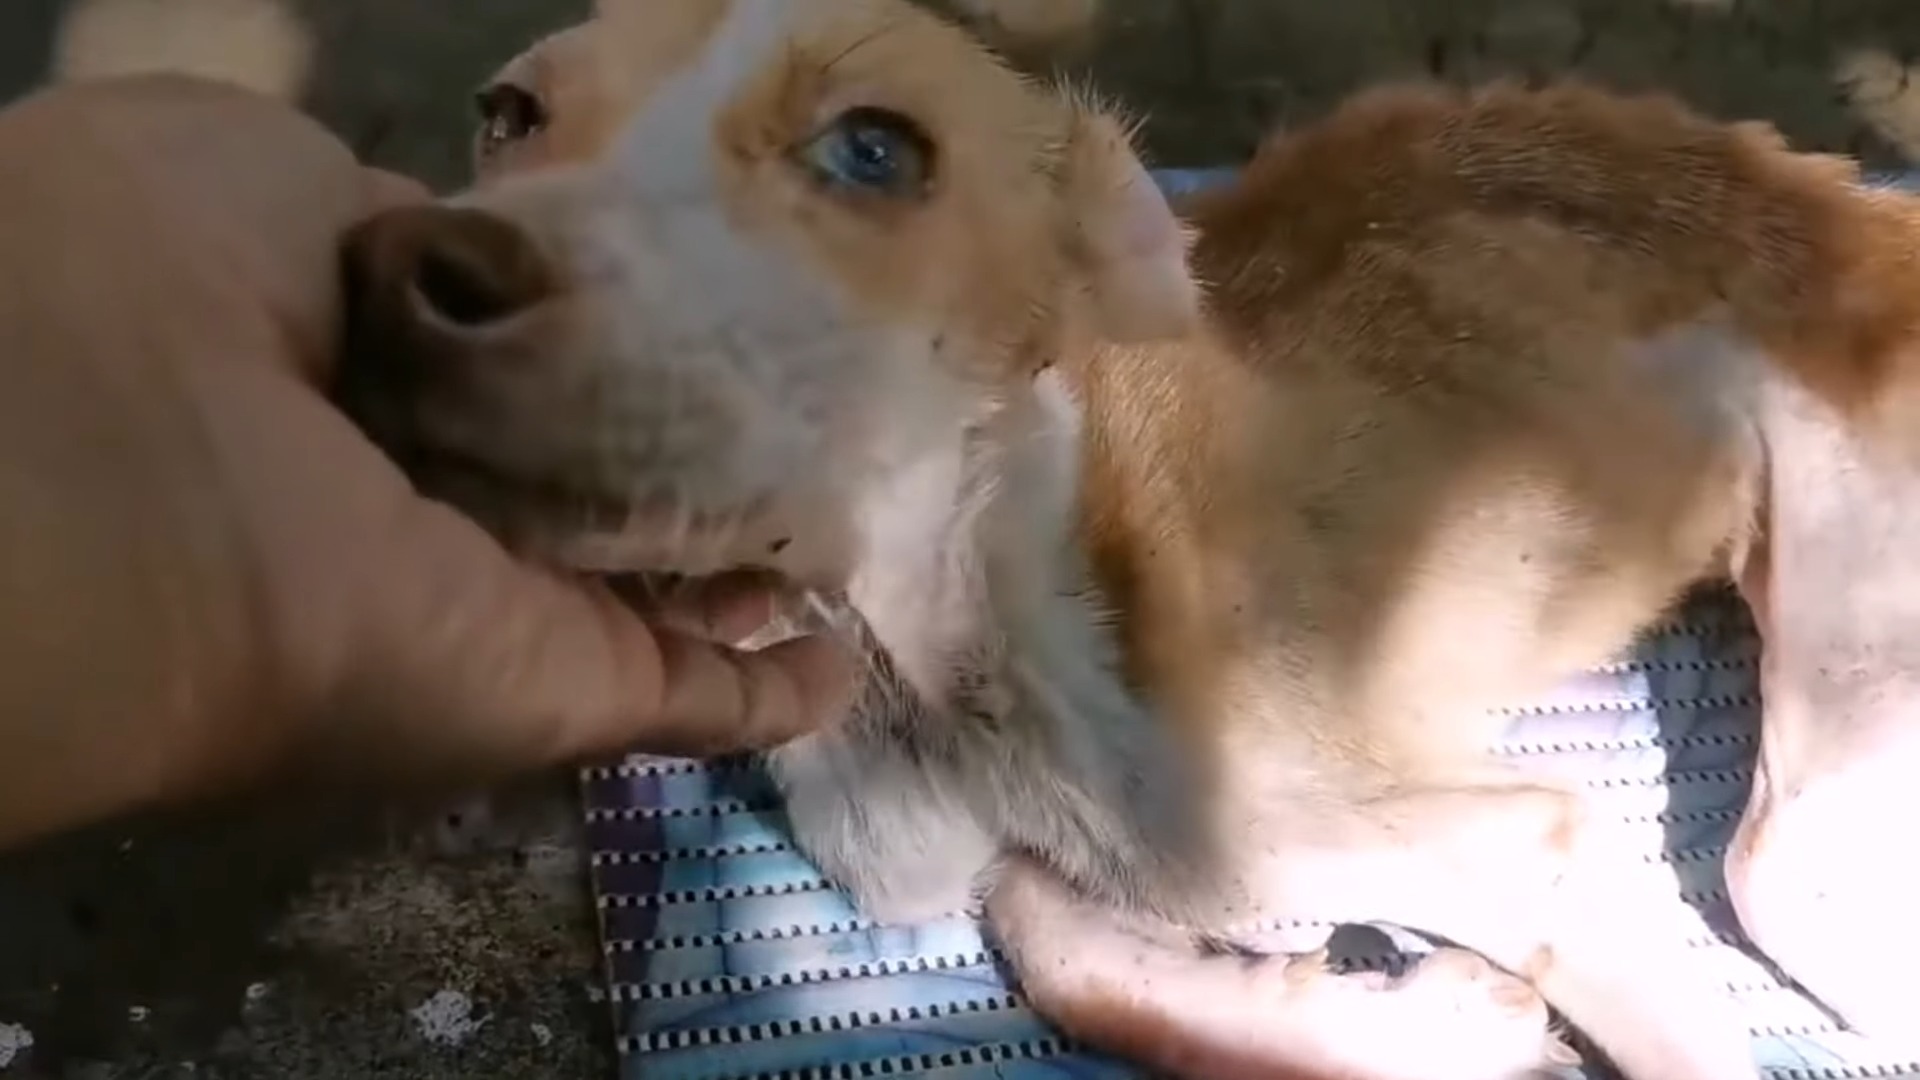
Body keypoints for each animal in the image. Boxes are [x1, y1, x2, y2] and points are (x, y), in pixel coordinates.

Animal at [337, 4, 1920, 1068]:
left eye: (874, 152)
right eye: (508, 111)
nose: (404, 277)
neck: (939, 649)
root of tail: (1859, 216)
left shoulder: (1530, 832)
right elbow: (1067, 949)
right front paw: (1427, 1018)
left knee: (1771, 875)